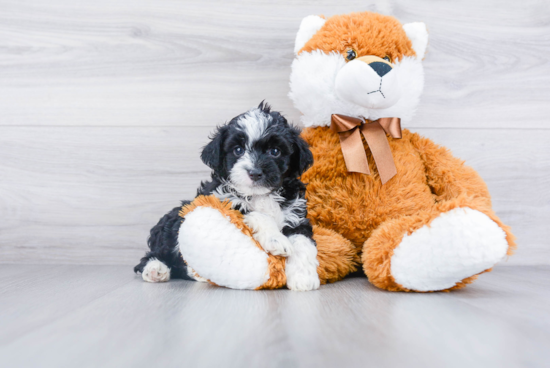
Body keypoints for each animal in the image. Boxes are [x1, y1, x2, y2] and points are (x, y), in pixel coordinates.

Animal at [134, 103, 322, 290]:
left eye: (275, 151)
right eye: (238, 150)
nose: (255, 172)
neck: (260, 195)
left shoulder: (296, 216)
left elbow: (302, 241)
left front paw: (304, 277)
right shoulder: (224, 202)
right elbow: (258, 215)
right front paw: (275, 239)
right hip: (172, 223)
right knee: (156, 254)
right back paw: (155, 269)